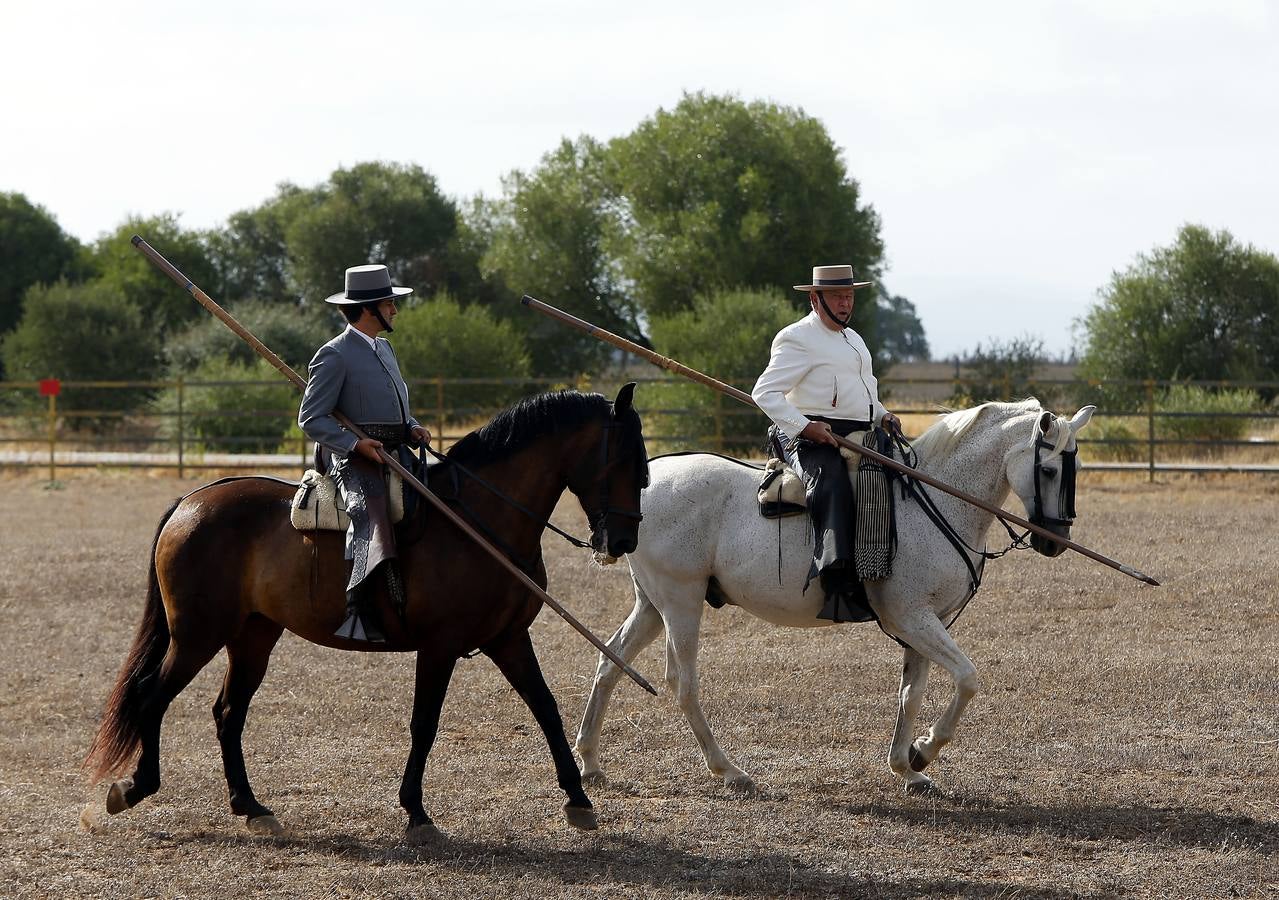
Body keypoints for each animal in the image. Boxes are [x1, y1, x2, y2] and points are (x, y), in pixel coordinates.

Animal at [87, 383, 649, 838]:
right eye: (625, 460)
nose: (623, 541)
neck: (477, 521)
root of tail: (191, 501)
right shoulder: (440, 646)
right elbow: (425, 724)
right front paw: (417, 812)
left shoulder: (508, 639)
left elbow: (546, 709)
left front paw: (578, 800)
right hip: (197, 635)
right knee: (151, 696)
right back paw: (134, 788)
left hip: (253, 636)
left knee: (228, 712)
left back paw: (251, 807)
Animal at [575, 401, 1094, 792]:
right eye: (1050, 469)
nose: (1056, 542)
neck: (932, 499)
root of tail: (647, 481)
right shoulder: (911, 617)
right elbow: (967, 679)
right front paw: (924, 751)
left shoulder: (928, 622)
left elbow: (911, 693)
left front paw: (906, 766)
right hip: (680, 600)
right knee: (682, 685)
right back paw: (730, 771)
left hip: (652, 605)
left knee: (609, 662)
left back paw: (590, 762)